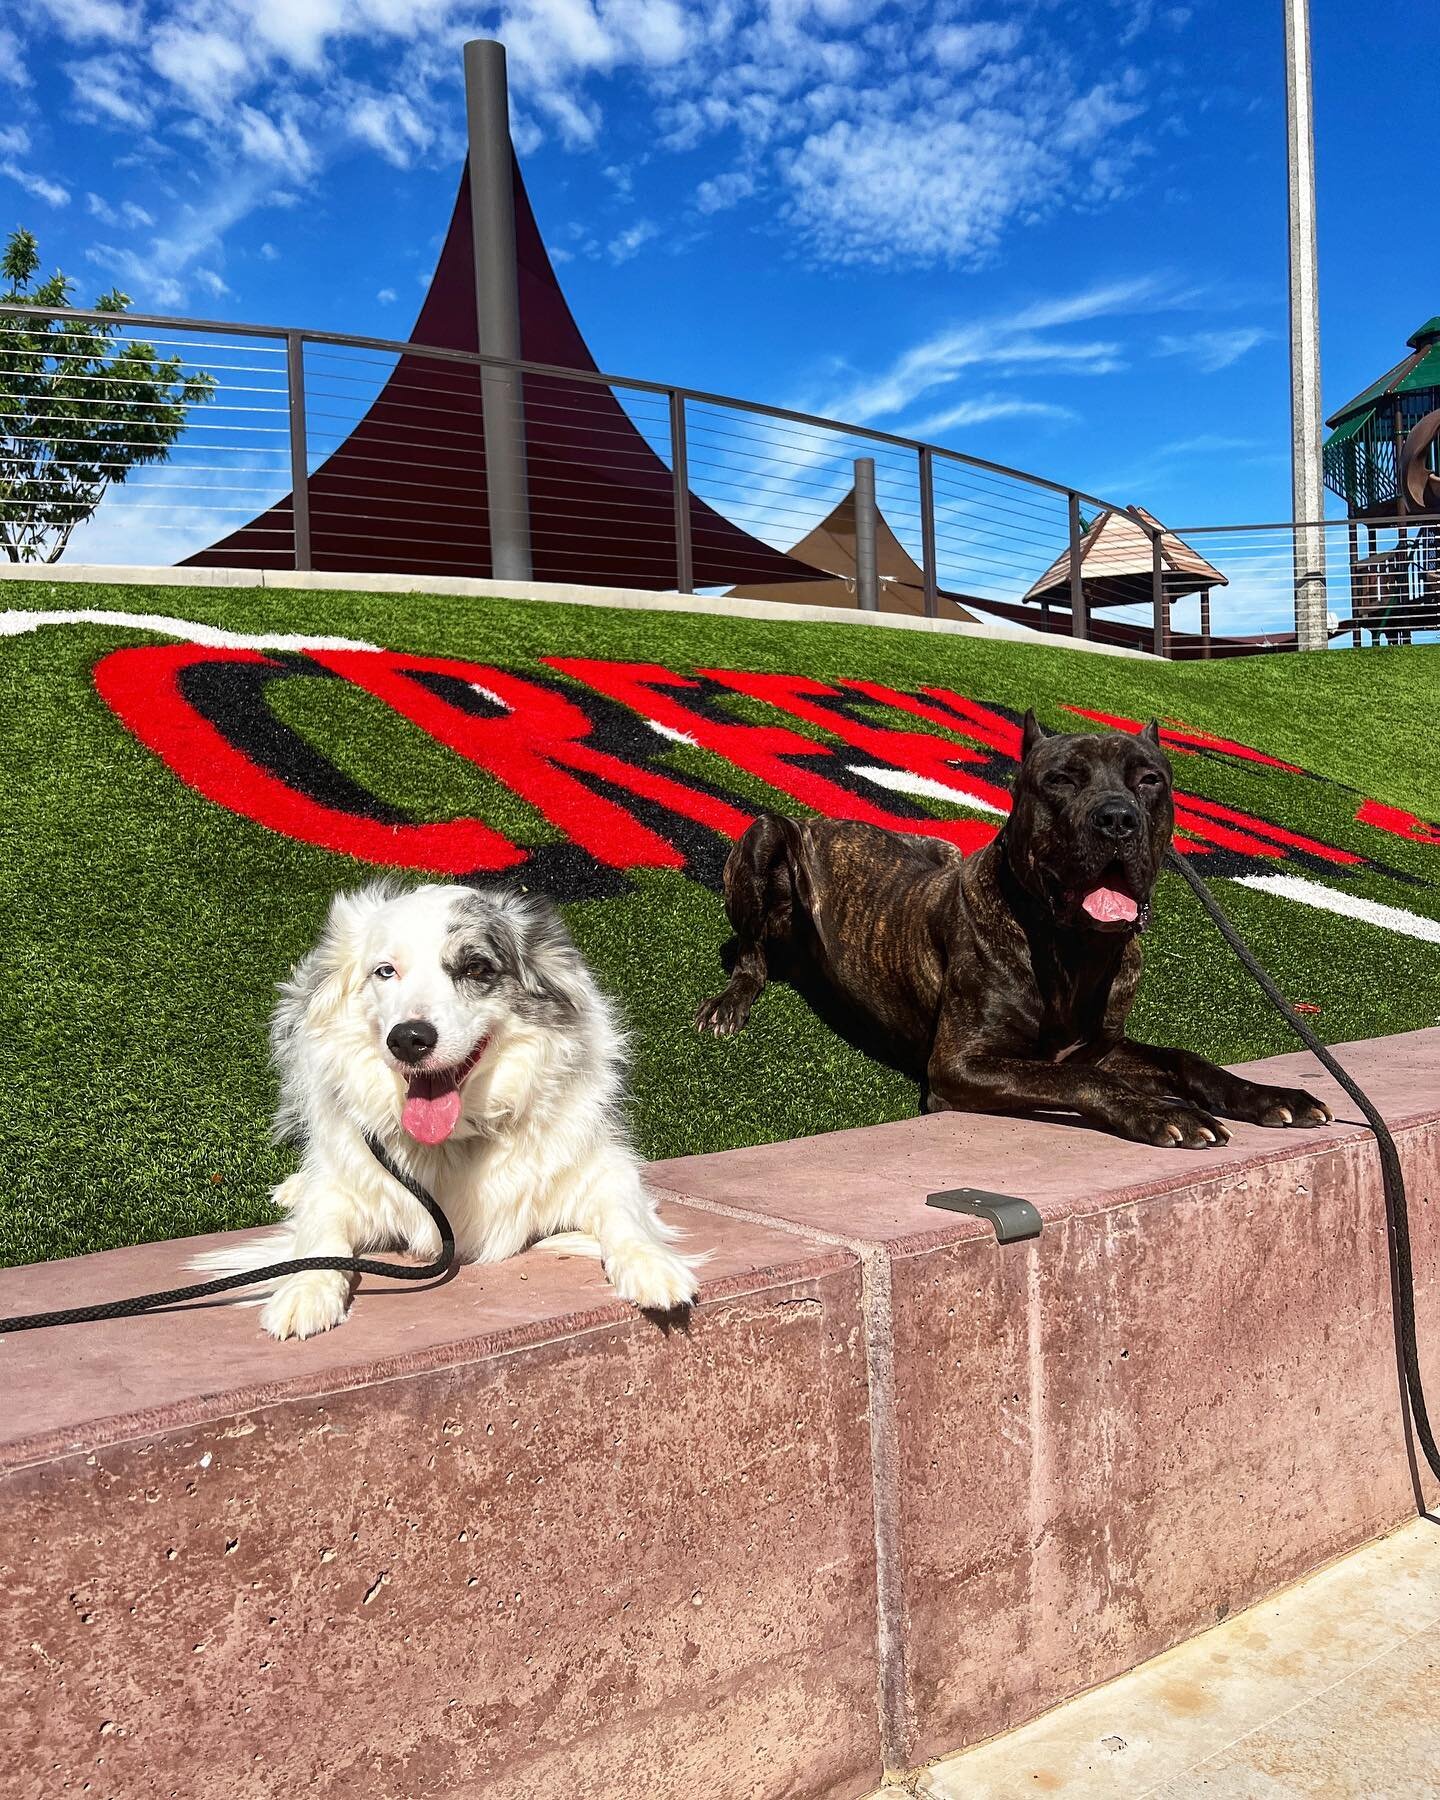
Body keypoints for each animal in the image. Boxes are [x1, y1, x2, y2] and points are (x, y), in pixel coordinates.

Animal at [194, 882, 702, 1339]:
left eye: (476, 967)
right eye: (385, 971)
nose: (408, 1039)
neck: (455, 1141)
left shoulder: (603, 1168)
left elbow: (625, 1215)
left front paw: (653, 1265)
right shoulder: (344, 1190)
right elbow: (319, 1235)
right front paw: (305, 1290)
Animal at [691, 709, 1332, 1144]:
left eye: (1149, 779)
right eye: (1062, 780)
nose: (1117, 819)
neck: (1074, 949)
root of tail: (826, 818)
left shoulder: (1101, 1046)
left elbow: (1182, 1059)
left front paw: (1268, 1096)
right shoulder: (961, 1065)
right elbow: (1083, 1081)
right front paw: (1163, 1111)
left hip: (937, 846)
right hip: (765, 834)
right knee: (751, 954)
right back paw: (729, 1003)